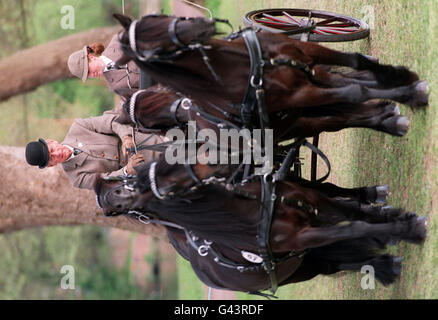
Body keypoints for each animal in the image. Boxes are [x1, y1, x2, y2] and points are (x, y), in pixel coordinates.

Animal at [93, 156, 428, 296]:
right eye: (121, 194)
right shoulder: (305, 236)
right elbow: (352, 228)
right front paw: (409, 230)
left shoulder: (314, 201)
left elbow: (352, 213)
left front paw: (398, 220)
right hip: (303, 264)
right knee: (335, 262)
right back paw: (385, 266)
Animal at [112, 13, 428, 138]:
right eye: (152, 52)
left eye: (153, 18)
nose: (201, 27)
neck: (243, 67)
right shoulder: (302, 94)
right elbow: (354, 92)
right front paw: (410, 95)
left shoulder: (306, 52)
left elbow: (355, 61)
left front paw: (398, 76)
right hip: (299, 116)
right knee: (340, 113)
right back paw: (387, 117)